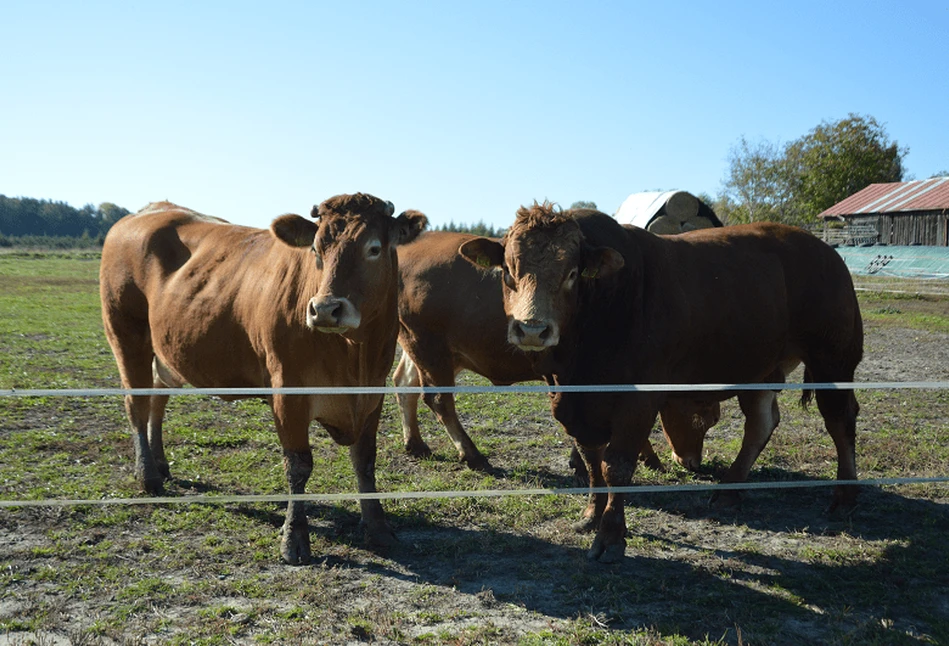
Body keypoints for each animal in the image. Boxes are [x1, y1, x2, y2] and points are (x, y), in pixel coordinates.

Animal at [99, 195, 426, 564]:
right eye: (316, 249)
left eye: (374, 249)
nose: (325, 309)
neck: (352, 356)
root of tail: (151, 210)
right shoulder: (288, 393)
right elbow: (298, 466)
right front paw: (294, 539)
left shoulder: (372, 394)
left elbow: (365, 460)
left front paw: (378, 527)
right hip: (126, 334)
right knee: (136, 404)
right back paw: (148, 476)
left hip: (165, 351)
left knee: (157, 397)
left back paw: (159, 462)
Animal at [392, 230, 720, 474]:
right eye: (704, 414)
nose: (692, 461)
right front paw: (646, 458)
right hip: (430, 349)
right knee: (439, 400)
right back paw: (472, 454)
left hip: (422, 348)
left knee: (404, 384)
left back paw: (416, 444)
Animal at [462, 205, 864, 564]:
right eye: (508, 271)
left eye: (573, 273)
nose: (532, 329)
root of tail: (824, 250)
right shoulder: (570, 400)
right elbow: (591, 461)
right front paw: (590, 515)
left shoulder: (639, 398)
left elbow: (617, 465)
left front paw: (610, 536)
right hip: (760, 368)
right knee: (761, 423)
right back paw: (729, 490)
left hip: (834, 358)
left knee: (839, 419)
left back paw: (845, 496)